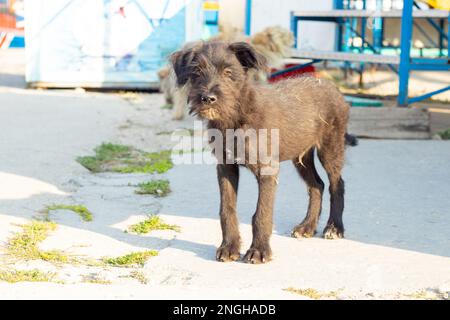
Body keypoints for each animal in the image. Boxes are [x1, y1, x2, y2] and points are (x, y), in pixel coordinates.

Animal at [171, 41, 354, 264]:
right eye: (197, 72)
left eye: (228, 72)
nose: (207, 98)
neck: (237, 117)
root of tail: (331, 86)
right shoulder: (225, 167)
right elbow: (227, 209)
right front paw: (229, 247)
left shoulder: (267, 171)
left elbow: (262, 213)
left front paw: (259, 250)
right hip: (301, 155)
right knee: (317, 185)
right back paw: (307, 226)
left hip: (330, 148)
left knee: (337, 184)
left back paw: (334, 227)